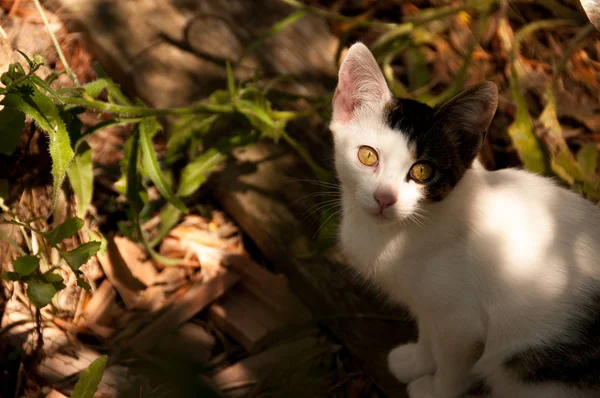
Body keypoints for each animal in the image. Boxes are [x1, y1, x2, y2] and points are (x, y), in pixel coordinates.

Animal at [330, 41, 600, 398]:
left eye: (422, 171)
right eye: (367, 155)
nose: (384, 198)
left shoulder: (461, 325)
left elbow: (452, 367)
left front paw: (434, 390)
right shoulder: (431, 309)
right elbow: (428, 333)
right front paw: (415, 361)